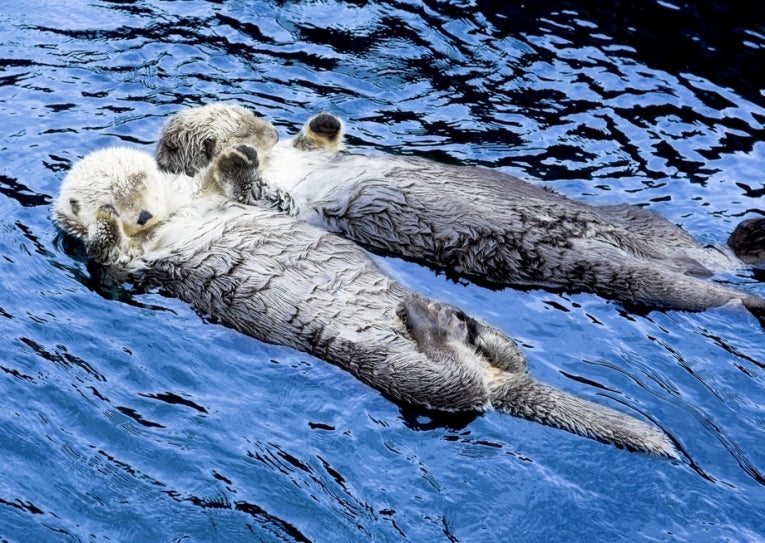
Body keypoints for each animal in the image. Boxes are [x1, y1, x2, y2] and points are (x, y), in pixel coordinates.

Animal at [53, 144, 676, 456]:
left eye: (141, 185)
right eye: (115, 196)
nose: (137, 213)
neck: (174, 215)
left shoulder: (213, 199)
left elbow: (231, 186)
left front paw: (235, 157)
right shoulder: (131, 265)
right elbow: (107, 259)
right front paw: (102, 222)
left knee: (504, 361)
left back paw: (466, 325)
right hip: (393, 368)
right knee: (461, 390)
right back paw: (433, 322)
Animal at [155, 103, 765, 315]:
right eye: (241, 123)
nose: (264, 130)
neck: (282, 163)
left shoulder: (306, 156)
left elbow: (319, 142)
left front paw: (323, 122)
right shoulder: (277, 202)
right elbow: (258, 190)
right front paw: (236, 159)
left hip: (645, 225)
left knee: (706, 256)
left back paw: (749, 240)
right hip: (602, 266)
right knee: (692, 289)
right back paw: (749, 298)